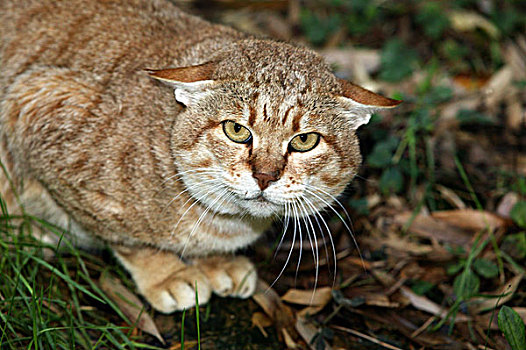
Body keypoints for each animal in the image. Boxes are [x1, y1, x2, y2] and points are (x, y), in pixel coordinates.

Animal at [0, 0, 400, 314]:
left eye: (305, 141)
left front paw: (212, 262)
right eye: (236, 130)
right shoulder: (33, 101)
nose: (265, 176)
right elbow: (126, 240)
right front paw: (167, 272)